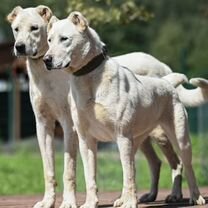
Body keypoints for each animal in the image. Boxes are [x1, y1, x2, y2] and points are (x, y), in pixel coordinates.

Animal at [44, 11, 206, 208]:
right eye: (49, 40)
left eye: (64, 39)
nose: (46, 60)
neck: (89, 78)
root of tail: (167, 82)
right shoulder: (86, 140)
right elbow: (91, 177)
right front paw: (91, 203)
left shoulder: (121, 136)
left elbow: (129, 175)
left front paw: (130, 202)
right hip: (136, 141)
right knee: (143, 165)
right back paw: (123, 199)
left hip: (178, 139)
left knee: (185, 165)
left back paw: (194, 196)